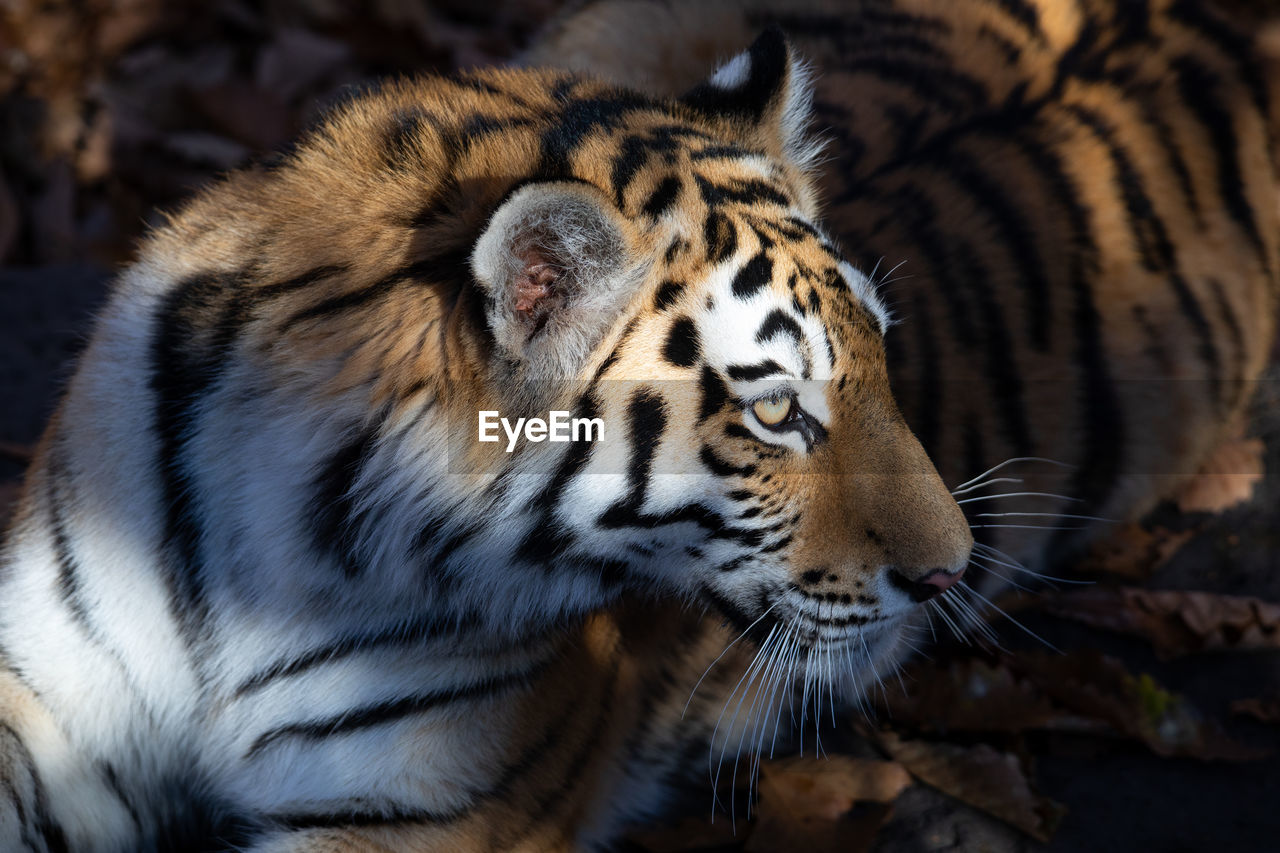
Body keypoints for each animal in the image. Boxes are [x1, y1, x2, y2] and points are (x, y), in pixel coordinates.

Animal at [2, 1, 1269, 850]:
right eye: (774, 410)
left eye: (881, 364)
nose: (949, 574)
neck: (273, 549)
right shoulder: (43, 701)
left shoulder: (427, 809)